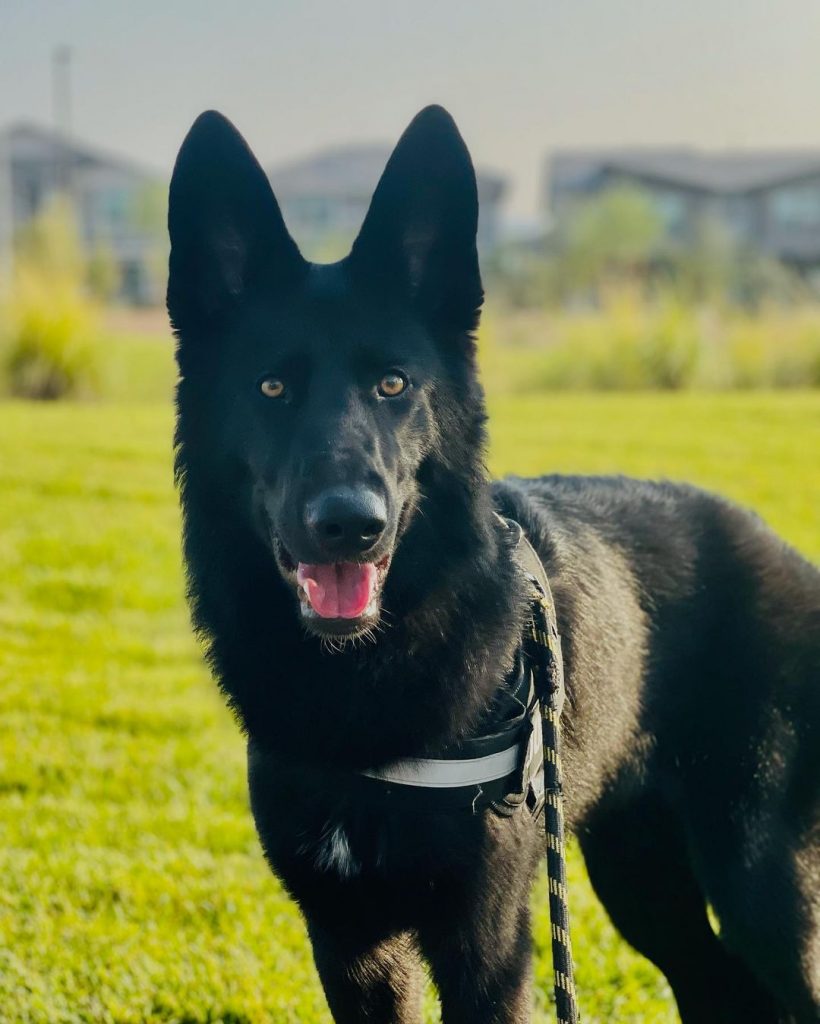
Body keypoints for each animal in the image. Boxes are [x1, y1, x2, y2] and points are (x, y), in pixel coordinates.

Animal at [165, 108, 818, 1019]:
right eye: (271, 389)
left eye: (394, 385)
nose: (350, 526)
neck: (366, 681)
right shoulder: (350, 944)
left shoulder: (490, 947)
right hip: (646, 885)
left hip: (761, 887)